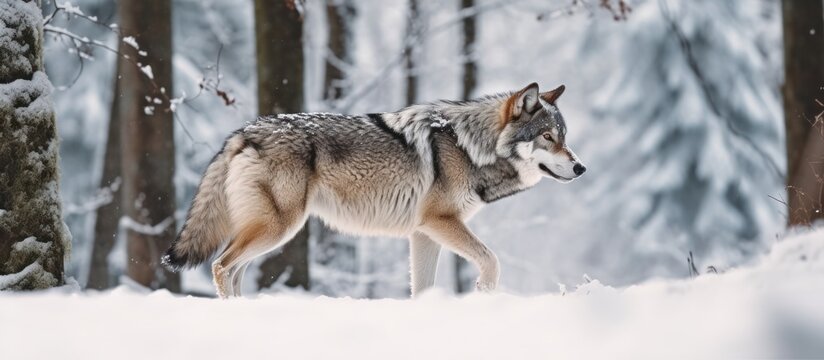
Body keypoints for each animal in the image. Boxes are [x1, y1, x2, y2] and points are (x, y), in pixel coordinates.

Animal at [161, 82, 584, 298]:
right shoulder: (441, 222)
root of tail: (244, 132)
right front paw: (486, 294)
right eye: (547, 138)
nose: (581, 167)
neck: (470, 146)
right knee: (220, 265)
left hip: (270, 232)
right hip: (279, 228)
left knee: (233, 272)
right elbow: (492, 260)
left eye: (564, 137)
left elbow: (423, 289)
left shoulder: (423, 233)